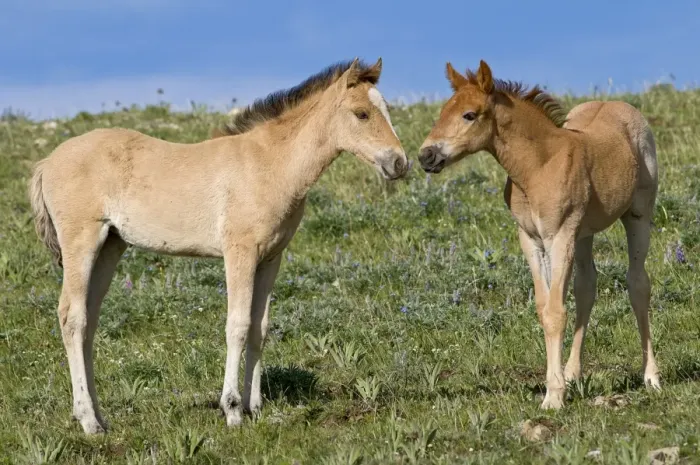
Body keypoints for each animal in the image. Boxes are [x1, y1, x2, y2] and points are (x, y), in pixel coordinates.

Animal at [29, 58, 408, 434]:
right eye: (361, 114)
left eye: (386, 109)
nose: (399, 162)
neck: (269, 164)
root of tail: (46, 163)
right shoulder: (239, 252)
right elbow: (237, 326)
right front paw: (233, 410)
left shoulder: (271, 258)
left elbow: (259, 328)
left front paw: (256, 407)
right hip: (82, 242)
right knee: (73, 317)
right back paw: (88, 420)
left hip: (111, 246)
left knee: (90, 320)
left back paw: (100, 416)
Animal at [418, 60, 660, 409]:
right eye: (442, 111)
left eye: (469, 114)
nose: (426, 156)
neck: (538, 167)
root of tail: (620, 104)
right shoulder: (531, 240)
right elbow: (544, 308)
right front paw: (557, 385)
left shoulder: (559, 236)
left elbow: (556, 311)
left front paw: (553, 397)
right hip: (583, 234)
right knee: (586, 287)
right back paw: (573, 373)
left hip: (638, 214)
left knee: (638, 283)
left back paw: (651, 376)